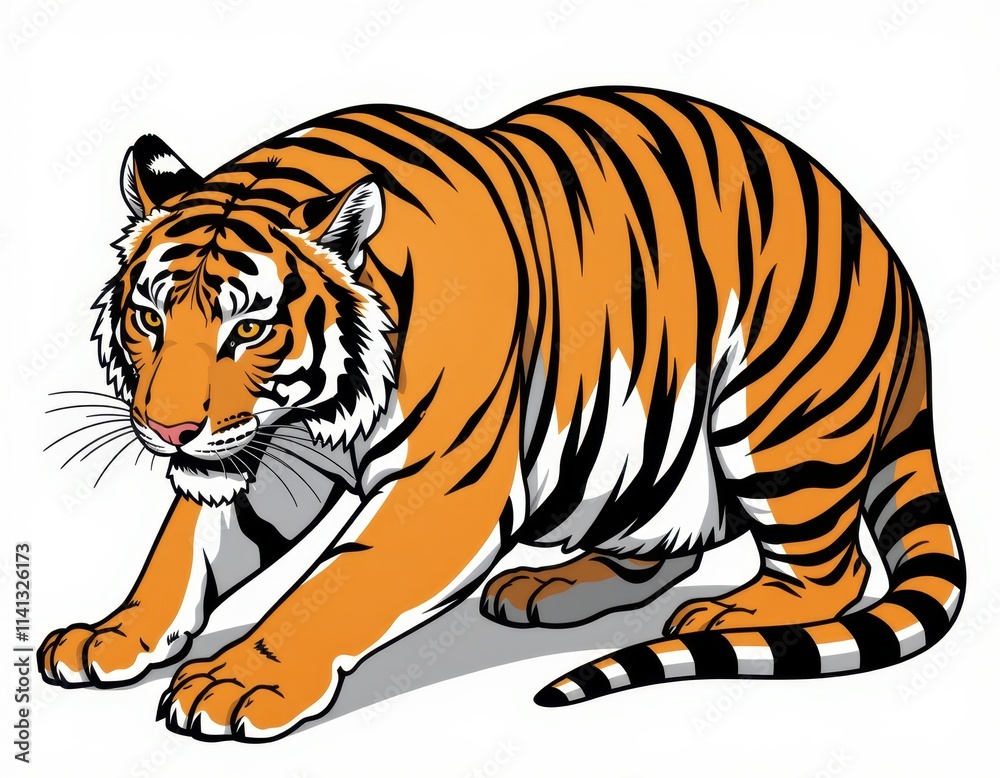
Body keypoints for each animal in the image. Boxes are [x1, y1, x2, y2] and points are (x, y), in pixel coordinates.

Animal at [38, 86, 964, 742]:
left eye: (250, 328)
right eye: (150, 318)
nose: (168, 430)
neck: (322, 410)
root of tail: (899, 280)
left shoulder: (443, 492)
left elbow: (335, 585)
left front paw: (239, 684)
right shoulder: (269, 457)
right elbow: (183, 548)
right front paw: (113, 636)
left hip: (778, 418)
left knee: (833, 569)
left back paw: (734, 611)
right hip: (643, 467)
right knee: (672, 546)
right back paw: (550, 587)